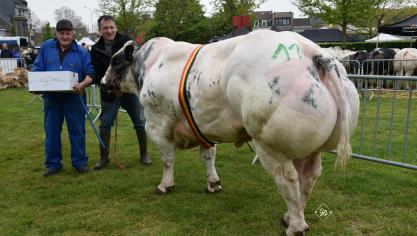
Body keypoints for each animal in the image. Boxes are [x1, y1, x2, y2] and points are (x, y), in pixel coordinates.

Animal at [102, 30, 360, 235]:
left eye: (114, 61)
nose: (103, 83)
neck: (150, 65)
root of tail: (312, 51)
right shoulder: (203, 125)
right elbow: (208, 156)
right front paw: (213, 183)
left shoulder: (157, 123)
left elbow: (168, 159)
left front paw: (165, 185)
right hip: (309, 148)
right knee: (309, 177)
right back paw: (290, 217)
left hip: (270, 145)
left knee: (289, 180)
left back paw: (295, 227)